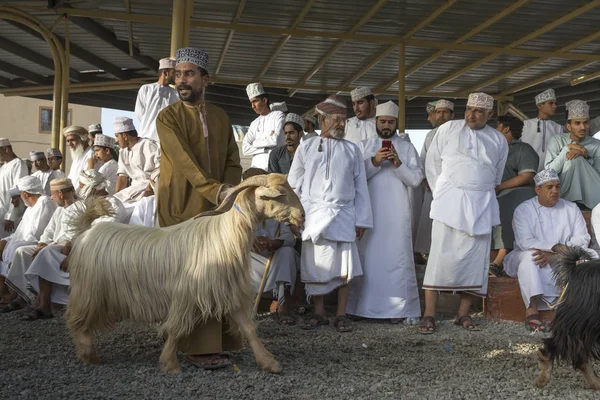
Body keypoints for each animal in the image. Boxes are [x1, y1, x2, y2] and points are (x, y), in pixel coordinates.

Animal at [65, 175, 304, 376]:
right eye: (279, 194)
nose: (301, 216)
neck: (224, 236)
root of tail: (85, 232)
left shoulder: (227, 292)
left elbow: (249, 327)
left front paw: (269, 363)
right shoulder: (187, 294)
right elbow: (177, 327)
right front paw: (170, 364)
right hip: (88, 290)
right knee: (76, 320)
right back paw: (87, 353)